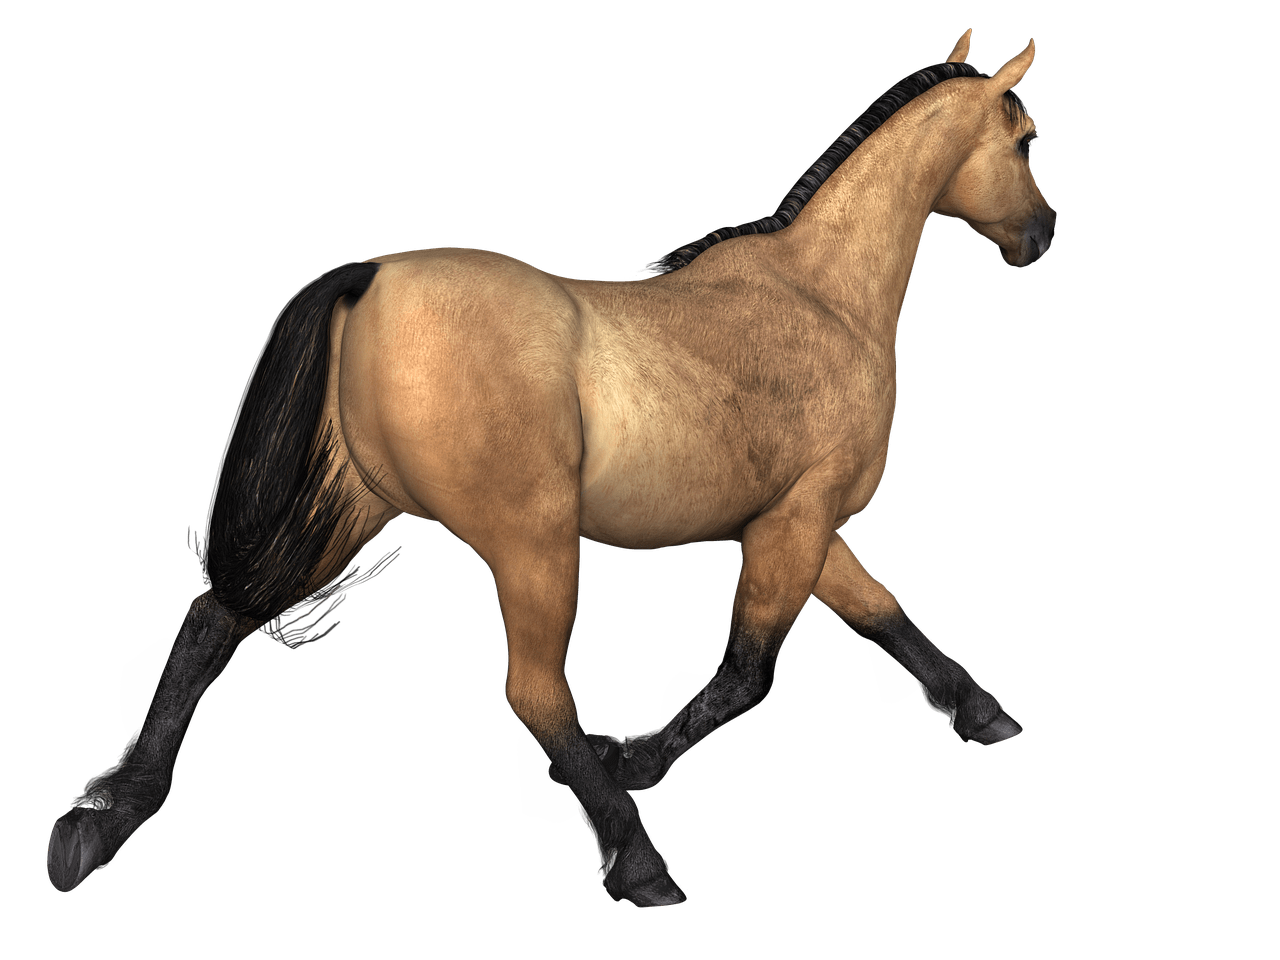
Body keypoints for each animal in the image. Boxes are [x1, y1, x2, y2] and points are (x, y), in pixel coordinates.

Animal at [46, 28, 1056, 907]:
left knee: (216, 620)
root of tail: (373, 275)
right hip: (530, 541)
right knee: (534, 692)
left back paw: (95, 825)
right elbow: (749, 672)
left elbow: (882, 611)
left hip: (351, 505)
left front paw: (984, 713)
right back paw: (641, 864)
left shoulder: (796, 520)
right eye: (1026, 138)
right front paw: (635, 760)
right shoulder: (798, 518)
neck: (819, 297)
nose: (1043, 235)